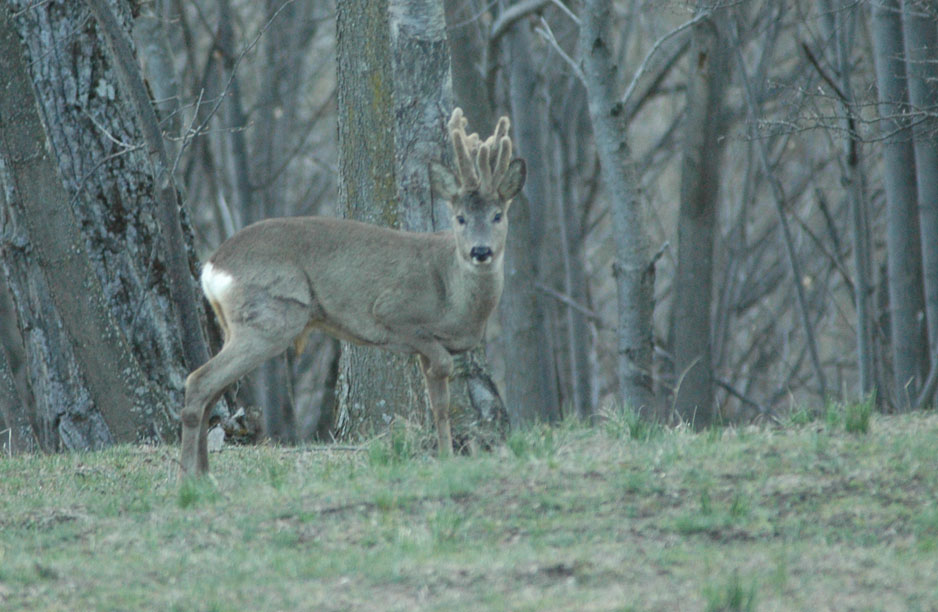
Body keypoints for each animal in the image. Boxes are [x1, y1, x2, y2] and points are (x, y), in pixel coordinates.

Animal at [179, 107, 524, 476]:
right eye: (459, 218)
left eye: (498, 215)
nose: (480, 251)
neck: (453, 295)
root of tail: (212, 266)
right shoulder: (393, 312)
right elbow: (443, 369)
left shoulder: (425, 347)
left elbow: (439, 402)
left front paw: (445, 456)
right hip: (270, 319)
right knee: (198, 381)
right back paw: (187, 477)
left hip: (236, 325)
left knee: (212, 392)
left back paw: (204, 474)